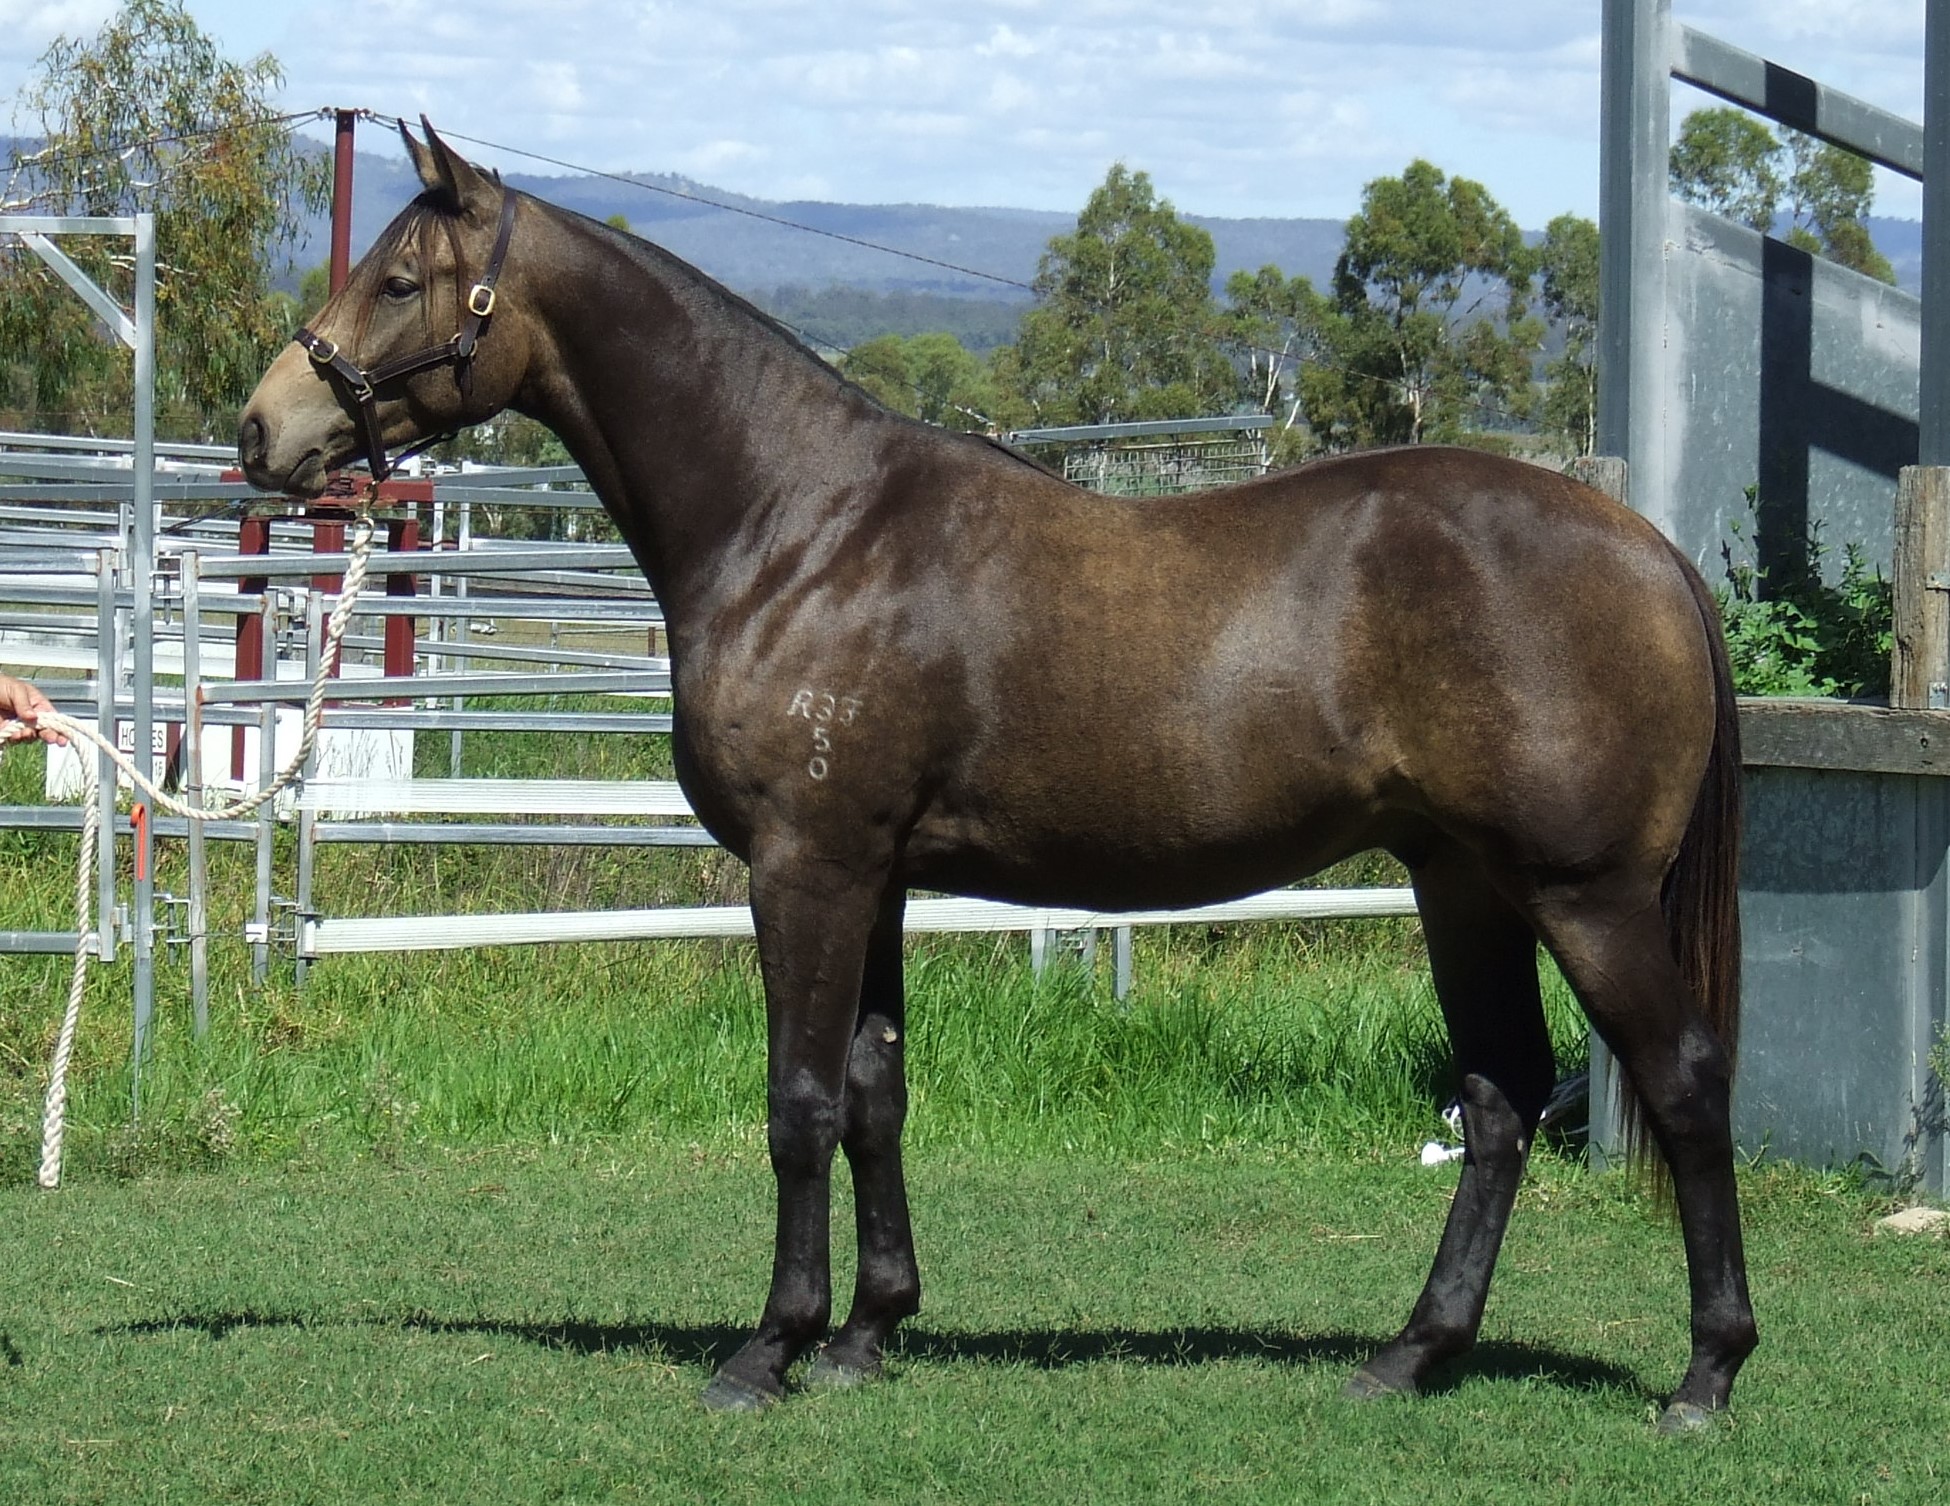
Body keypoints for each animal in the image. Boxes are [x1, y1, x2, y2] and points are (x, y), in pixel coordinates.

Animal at [239, 122, 1756, 1430]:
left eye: (399, 278)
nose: (263, 428)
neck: (802, 524)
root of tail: (1647, 551)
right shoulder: (877, 878)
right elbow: (873, 1092)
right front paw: (868, 1331)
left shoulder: (807, 867)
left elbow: (798, 1104)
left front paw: (769, 1348)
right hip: (1462, 883)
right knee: (1499, 1097)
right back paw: (1411, 1354)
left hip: (1582, 893)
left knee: (1680, 1080)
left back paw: (1704, 1372)